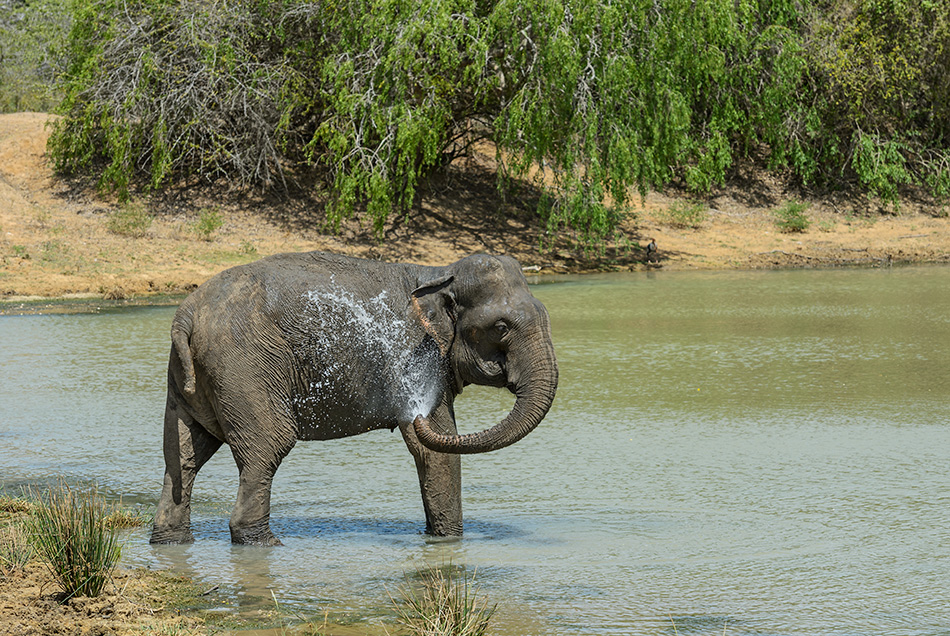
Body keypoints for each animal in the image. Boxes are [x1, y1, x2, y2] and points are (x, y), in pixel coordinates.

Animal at [151, 251, 556, 544]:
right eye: (501, 327)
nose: (413, 412)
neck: (438, 273)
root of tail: (186, 315)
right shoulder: (417, 357)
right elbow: (435, 448)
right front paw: (449, 543)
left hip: (191, 379)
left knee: (183, 454)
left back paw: (170, 541)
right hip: (245, 367)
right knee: (267, 446)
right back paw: (263, 543)